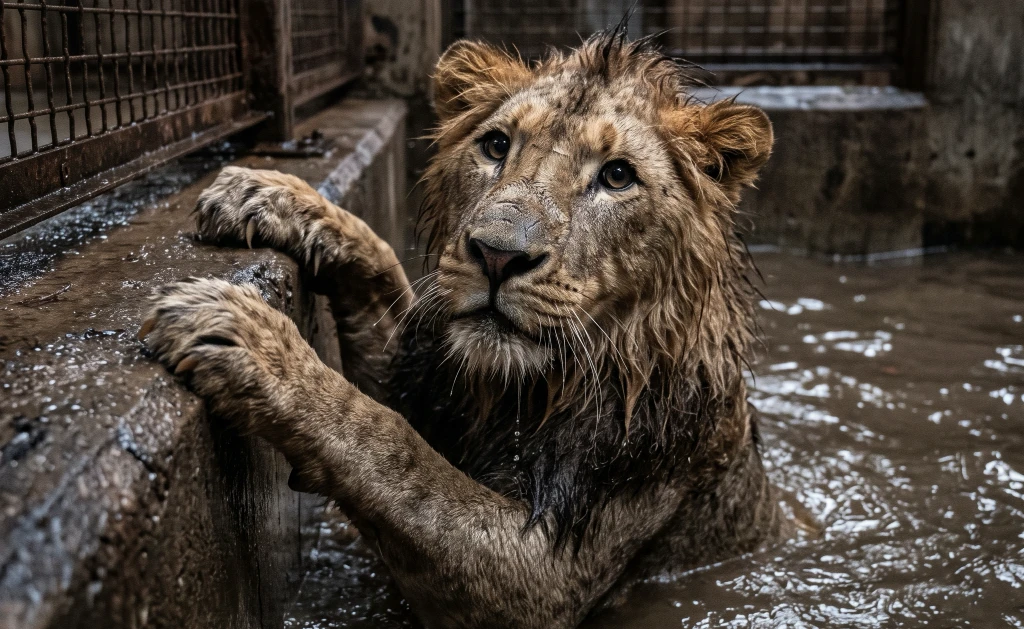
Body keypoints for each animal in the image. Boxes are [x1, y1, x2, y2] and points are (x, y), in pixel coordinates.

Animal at [140, 29, 791, 628]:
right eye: (496, 145)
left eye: (617, 177)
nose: (498, 255)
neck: (518, 390)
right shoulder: (421, 376)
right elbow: (381, 270)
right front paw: (264, 192)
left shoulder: (543, 574)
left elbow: (398, 454)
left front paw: (250, 338)